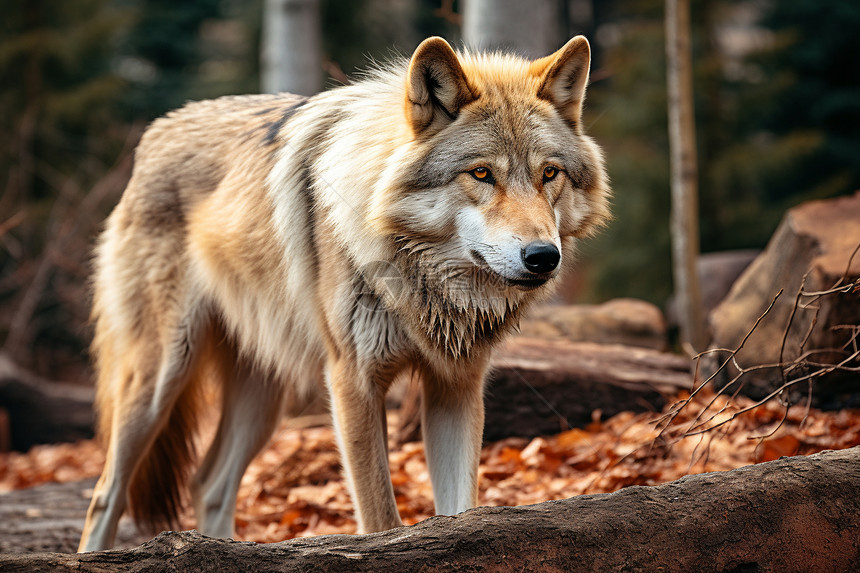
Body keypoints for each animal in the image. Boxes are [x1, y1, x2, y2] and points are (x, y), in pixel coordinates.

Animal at [77, 34, 608, 548]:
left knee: (208, 483)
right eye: (481, 173)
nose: (543, 256)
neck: (420, 282)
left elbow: (462, 512)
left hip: (264, 398)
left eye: (549, 174)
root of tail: (156, 132)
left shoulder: (457, 388)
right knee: (106, 493)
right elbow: (380, 521)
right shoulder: (353, 381)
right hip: (160, 377)